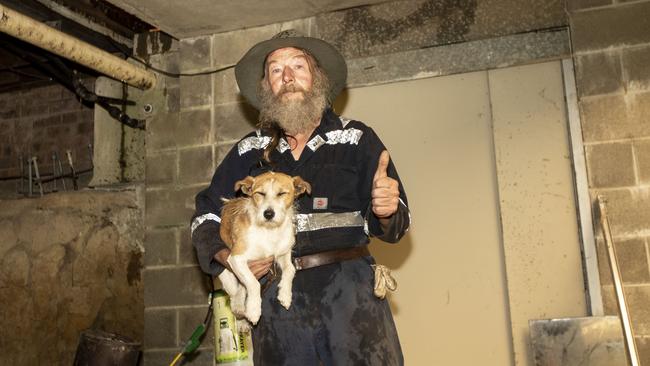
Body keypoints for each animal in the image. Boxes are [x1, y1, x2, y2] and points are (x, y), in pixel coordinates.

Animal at [216, 170, 310, 324]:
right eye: (260, 193)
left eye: (282, 193)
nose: (268, 214)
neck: (269, 231)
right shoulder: (236, 259)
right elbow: (253, 283)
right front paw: (254, 310)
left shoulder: (283, 255)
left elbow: (290, 270)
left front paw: (285, 294)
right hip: (227, 276)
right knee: (235, 291)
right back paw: (239, 308)